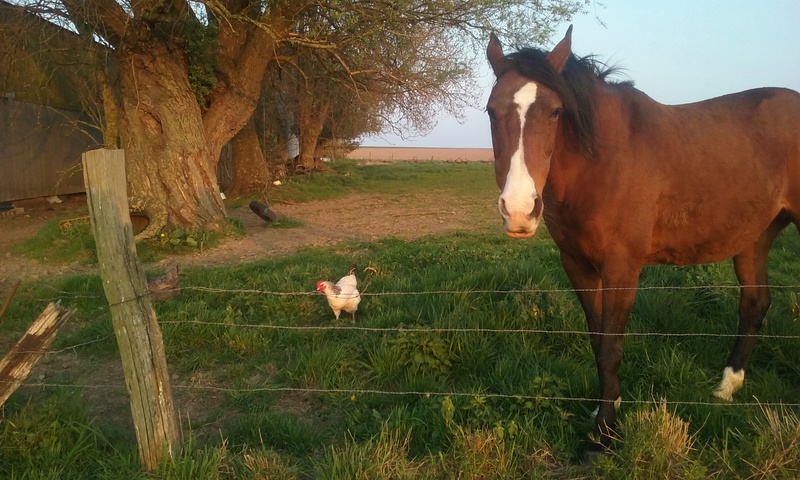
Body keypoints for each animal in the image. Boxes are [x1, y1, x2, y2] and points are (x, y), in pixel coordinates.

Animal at [484, 25, 800, 446]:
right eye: (491, 110)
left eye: (555, 111)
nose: (519, 210)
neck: (604, 161)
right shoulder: (578, 265)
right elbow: (598, 339)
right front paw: (607, 408)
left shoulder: (622, 267)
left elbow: (611, 347)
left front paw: (604, 433)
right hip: (755, 239)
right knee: (754, 304)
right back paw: (726, 388)